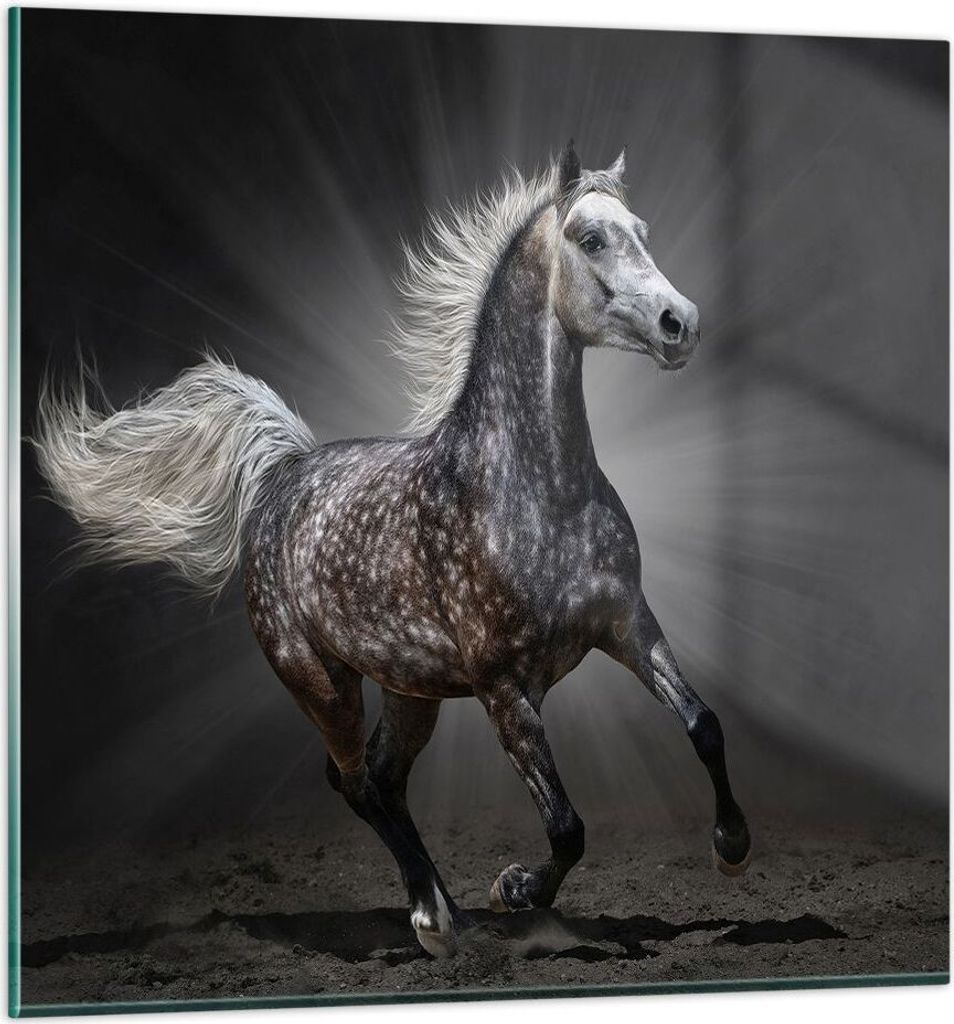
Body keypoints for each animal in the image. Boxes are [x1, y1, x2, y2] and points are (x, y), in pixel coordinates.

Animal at [34, 142, 751, 959]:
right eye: (590, 238)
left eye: (642, 230)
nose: (680, 324)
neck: (536, 491)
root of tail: (283, 474)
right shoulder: (505, 689)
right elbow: (567, 828)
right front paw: (514, 890)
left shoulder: (629, 626)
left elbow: (704, 725)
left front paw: (732, 848)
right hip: (321, 682)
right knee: (353, 781)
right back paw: (433, 919)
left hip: (411, 691)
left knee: (382, 778)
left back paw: (445, 909)